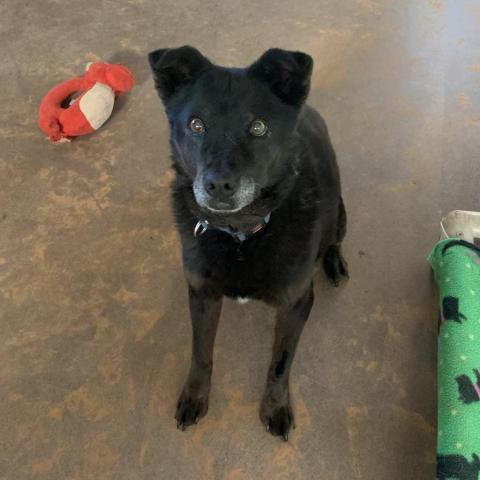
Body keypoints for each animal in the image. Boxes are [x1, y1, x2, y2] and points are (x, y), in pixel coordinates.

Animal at [148, 45, 346, 438]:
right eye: (196, 125)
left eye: (258, 127)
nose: (219, 185)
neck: (241, 233)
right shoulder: (202, 295)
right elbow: (201, 353)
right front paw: (195, 396)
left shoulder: (296, 303)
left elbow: (280, 363)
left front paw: (276, 406)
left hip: (337, 212)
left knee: (335, 238)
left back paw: (334, 262)